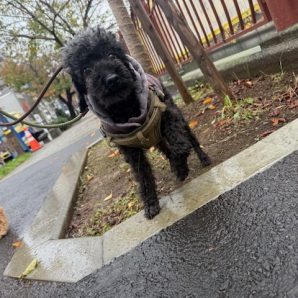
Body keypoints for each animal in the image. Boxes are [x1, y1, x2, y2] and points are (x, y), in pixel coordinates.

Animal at [62, 27, 211, 219]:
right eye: (86, 69)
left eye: (111, 54)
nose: (111, 79)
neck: (126, 107)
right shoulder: (130, 150)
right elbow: (143, 175)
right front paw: (151, 204)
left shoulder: (168, 114)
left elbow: (179, 144)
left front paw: (180, 168)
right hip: (157, 137)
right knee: (166, 148)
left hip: (174, 117)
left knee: (189, 138)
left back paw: (202, 158)